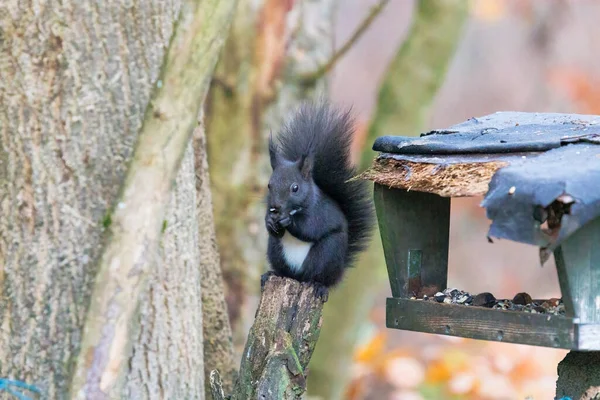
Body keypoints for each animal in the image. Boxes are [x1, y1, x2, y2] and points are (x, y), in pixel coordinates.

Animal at [264, 101, 372, 296]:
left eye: (295, 188)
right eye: (269, 185)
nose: (276, 206)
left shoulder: (319, 213)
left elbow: (310, 229)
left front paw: (287, 220)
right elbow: (274, 230)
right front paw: (269, 221)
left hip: (326, 254)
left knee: (318, 276)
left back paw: (318, 286)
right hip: (276, 251)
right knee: (285, 271)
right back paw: (272, 274)